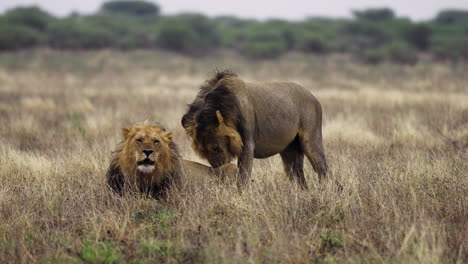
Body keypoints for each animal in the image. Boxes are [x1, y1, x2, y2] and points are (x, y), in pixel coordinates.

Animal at [181, 70, 328, 190]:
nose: (217, 166)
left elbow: (243, 177)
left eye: (216, 148)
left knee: (322, 169)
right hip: (290, 149)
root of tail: (313, 97)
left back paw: (324, 190)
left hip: (311, 140)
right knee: (297, 176)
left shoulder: (247, 144)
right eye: (203, 151)